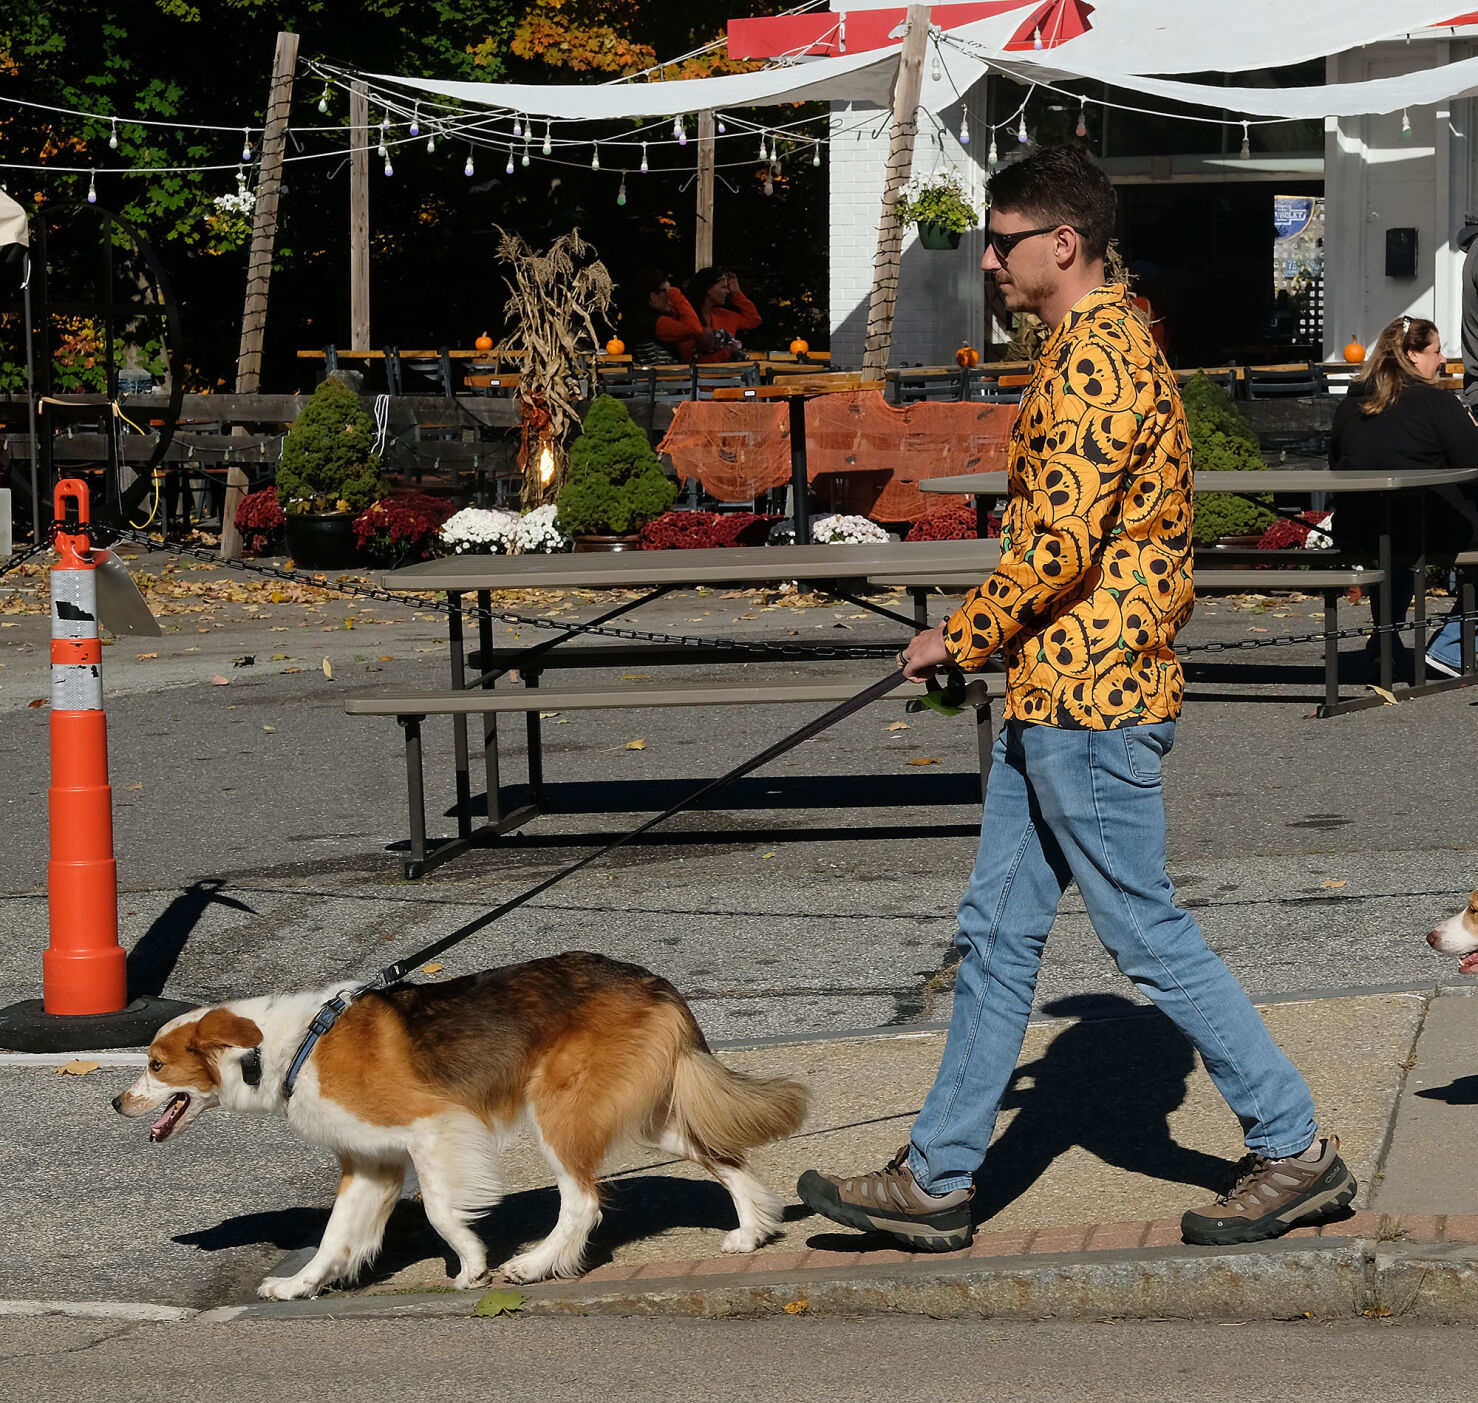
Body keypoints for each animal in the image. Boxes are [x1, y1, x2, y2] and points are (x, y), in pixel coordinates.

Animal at [115, 952, 809, 1300]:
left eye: (153, 1064)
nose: (119, 1104)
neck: (291, 1049)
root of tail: (654, 982)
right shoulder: (370, 1165)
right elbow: (336, 1237)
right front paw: (300, 1285)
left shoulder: (436, 1128)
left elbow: (443, 1213)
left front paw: (471, 1266)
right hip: (646, 1115)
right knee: (725, 1157)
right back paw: (752, 1233)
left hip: (559, 1113)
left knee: (583, 1201)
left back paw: (536, 1266)